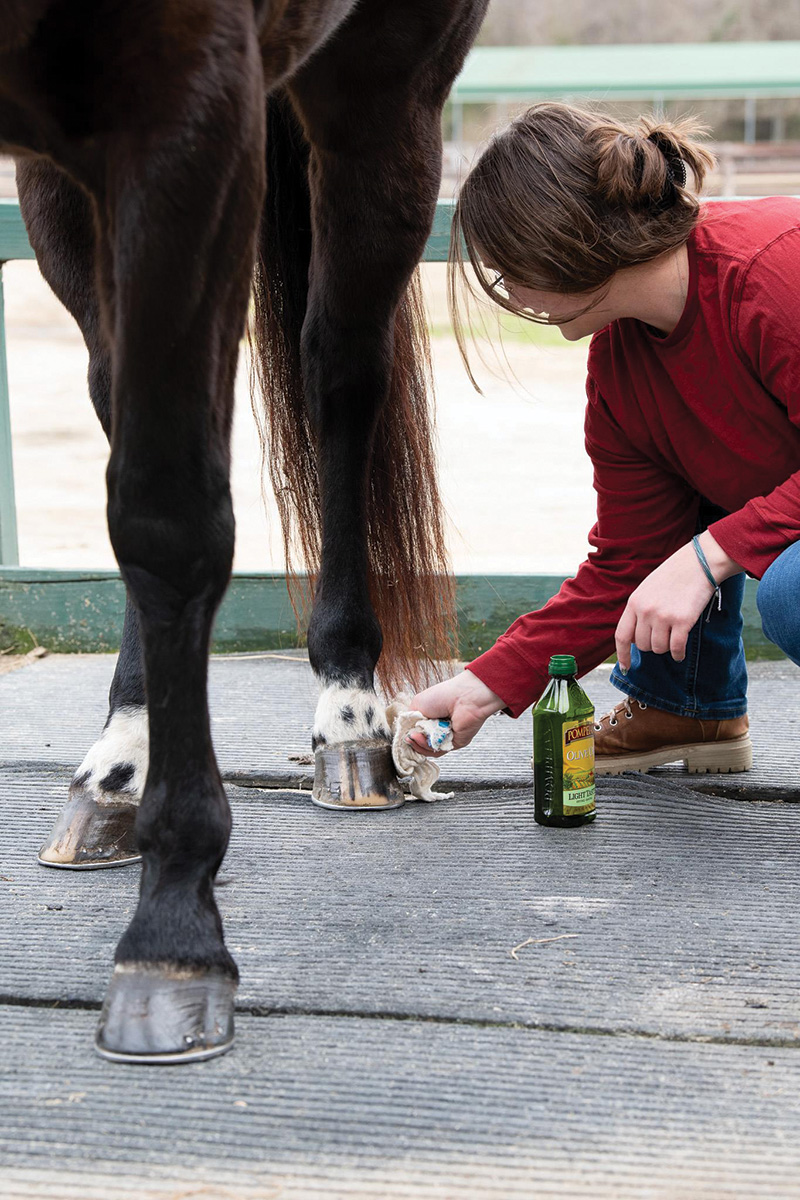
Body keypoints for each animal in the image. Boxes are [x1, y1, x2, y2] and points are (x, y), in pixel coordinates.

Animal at [0, 2, 489, 1060]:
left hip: (384, 100)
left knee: (339, 367)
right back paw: (121, 762)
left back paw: (350, 710)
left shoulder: (187, 123)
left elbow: (172, 517)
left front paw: (173, 931)